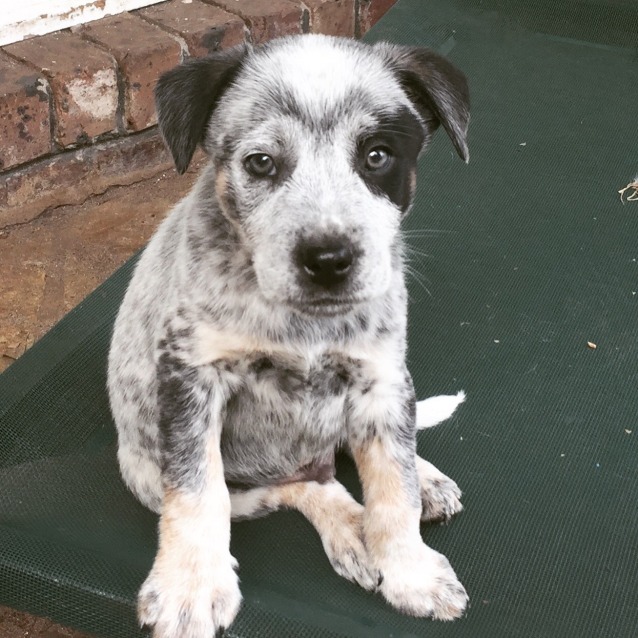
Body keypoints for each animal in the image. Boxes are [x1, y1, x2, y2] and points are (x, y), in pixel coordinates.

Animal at [107, 35, 472, 638]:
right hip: (148, 473)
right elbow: (198, 492)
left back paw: (424, 484)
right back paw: (350, 531)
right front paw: (189, 588)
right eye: (261, 163)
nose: (328, 260)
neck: (306, 324)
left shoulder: (381, 377)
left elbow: (393, 483)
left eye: (377, 156)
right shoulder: (190, 378)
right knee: (300, 485)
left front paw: (411, 571)